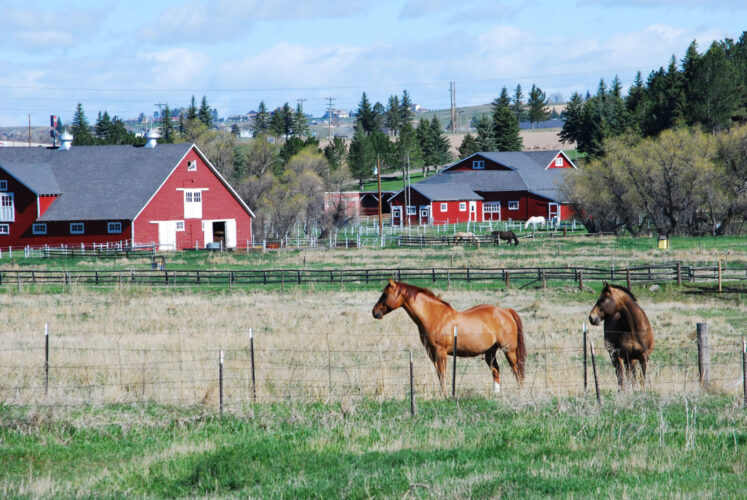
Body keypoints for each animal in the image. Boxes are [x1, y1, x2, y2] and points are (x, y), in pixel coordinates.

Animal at [372, 279, 525, 394]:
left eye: (384, 295)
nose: (374, 312)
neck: (435, 316)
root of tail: (505, 311)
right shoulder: (431, 353)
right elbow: (439, 373)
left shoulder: (441, 352)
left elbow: (442, 374)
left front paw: (444, 394)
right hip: (490, 352)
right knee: (496, 371)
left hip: (509, 350)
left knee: (517, 370)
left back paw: (520, 392)